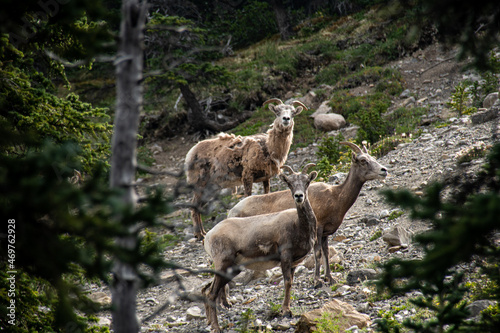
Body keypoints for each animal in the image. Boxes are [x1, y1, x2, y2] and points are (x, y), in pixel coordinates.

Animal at [186, 98, 306, 239]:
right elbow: (247, 197)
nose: (286, 119)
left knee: (198, 206)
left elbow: (266, 195)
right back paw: (199, 235)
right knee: (194, 206)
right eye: (277, 111)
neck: (268, 148)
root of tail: (190, 154)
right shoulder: (247, 176)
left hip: (209, 188)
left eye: (293, 113)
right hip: (199, 184)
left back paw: (202, 233)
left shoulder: (266, 178)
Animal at [202, 164, 316, 332]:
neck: (299, 226)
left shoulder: (294, 263)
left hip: (231, 269)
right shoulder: (285, 257)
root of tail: (208, 236)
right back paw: (216, 327)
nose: (299, 196)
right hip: (223, 265)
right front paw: (285, 311)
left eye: (307, 181)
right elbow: (287, 282)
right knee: (211, 294)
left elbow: (290, 282)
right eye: (289, 183)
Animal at [229, 141, 388, 286]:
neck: (335, 196)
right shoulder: (317, 230)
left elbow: (326, 253)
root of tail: (231, 213)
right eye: (363, 160)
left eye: (372, 157)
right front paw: (317, 281)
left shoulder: (325, 234)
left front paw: (330, 279)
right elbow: (317, 254)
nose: (384, 170)